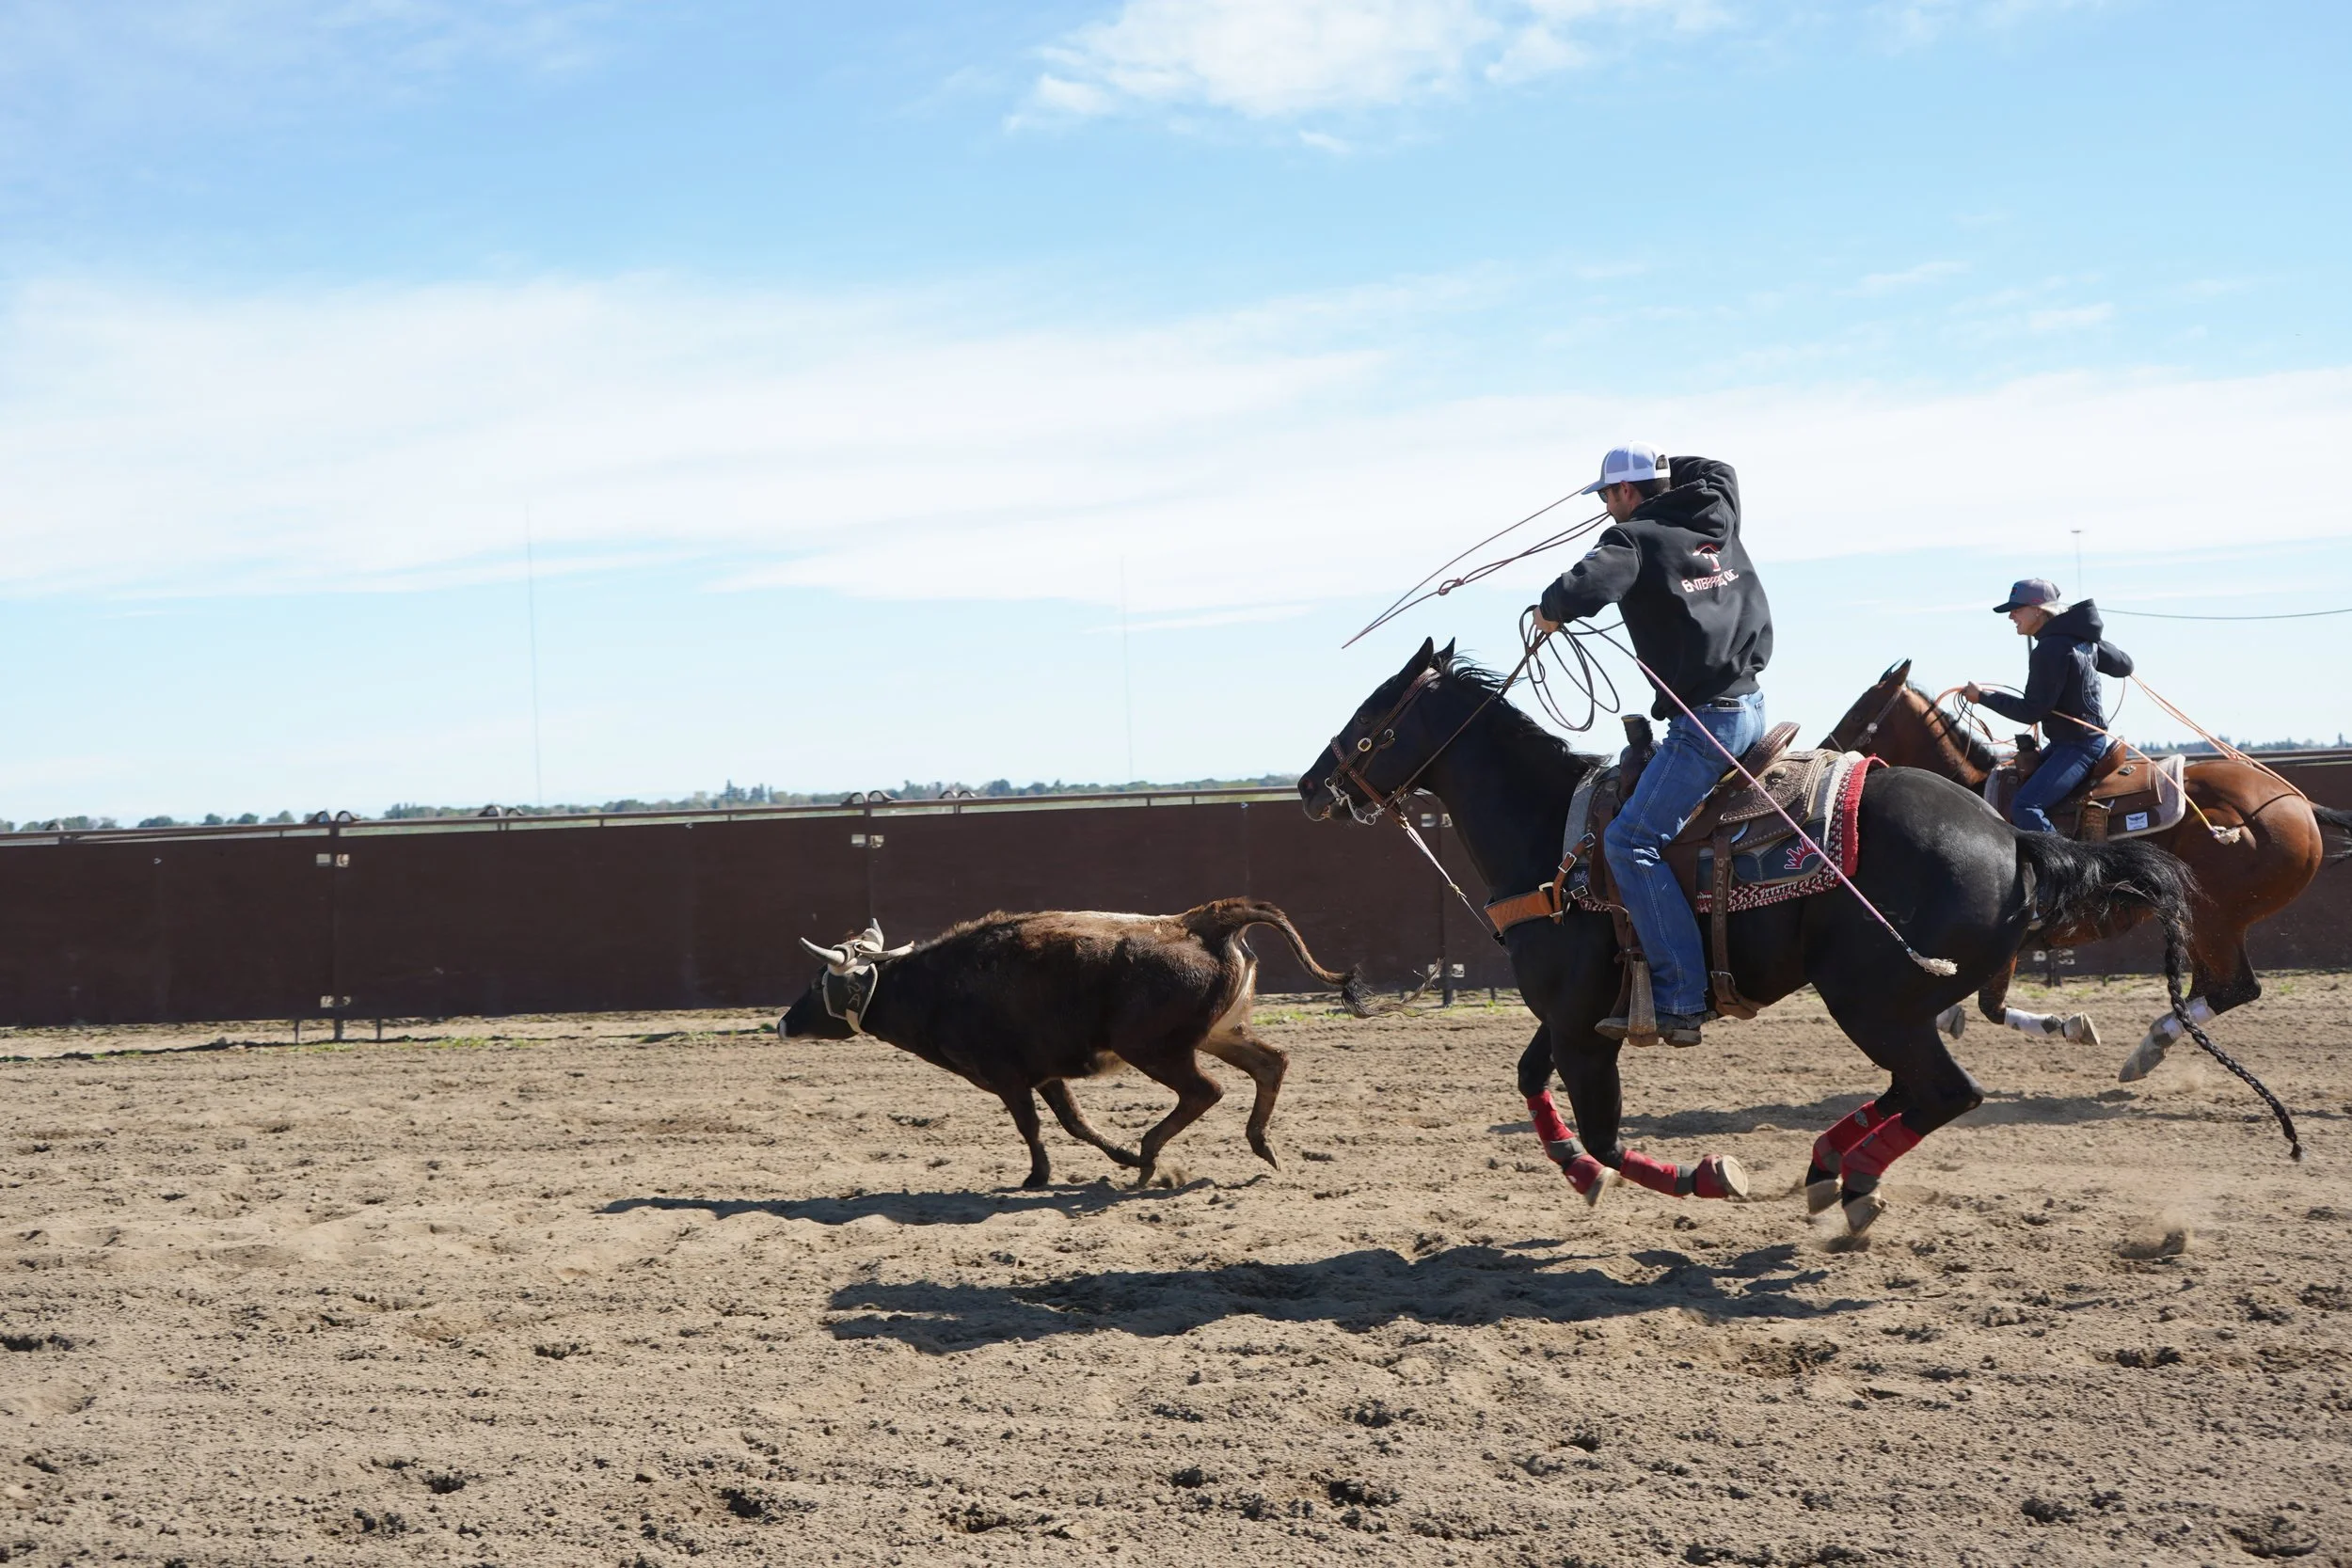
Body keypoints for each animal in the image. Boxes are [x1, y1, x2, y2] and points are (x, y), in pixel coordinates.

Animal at [777, 899, 1383, 1189]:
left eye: (816, 982)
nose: (783, 1024)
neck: (937, 986)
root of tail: (1198, 924)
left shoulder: (1008, 1076)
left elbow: (1032, 1127)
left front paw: (1037, 1176)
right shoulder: (1045, 1073)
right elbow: (1076, 1123)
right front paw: (1112, 1155)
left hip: (1155, 1048)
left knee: (1204, 1091)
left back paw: (1149, 1156)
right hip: (1218, 1033)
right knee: (1270, 1064)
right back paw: (1259, 1145)